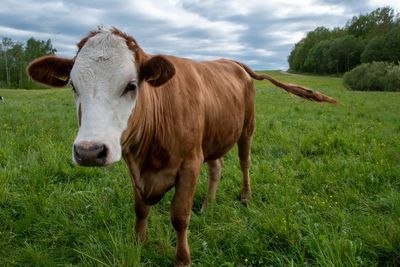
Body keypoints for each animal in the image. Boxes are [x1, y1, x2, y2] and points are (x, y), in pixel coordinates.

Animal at [26, 27, 336, 267]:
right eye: (73, 87)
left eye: (131, 85)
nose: (89, 151)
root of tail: (233, 63)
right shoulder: (135, 166)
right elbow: (140, 209)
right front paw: (139, 243)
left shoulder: (189, 164)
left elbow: (179, 215)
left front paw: (182, 259)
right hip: (212, 138)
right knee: (217, 167)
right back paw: (208, 205)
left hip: (247, 128)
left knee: (245, 161)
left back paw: (246, 197)